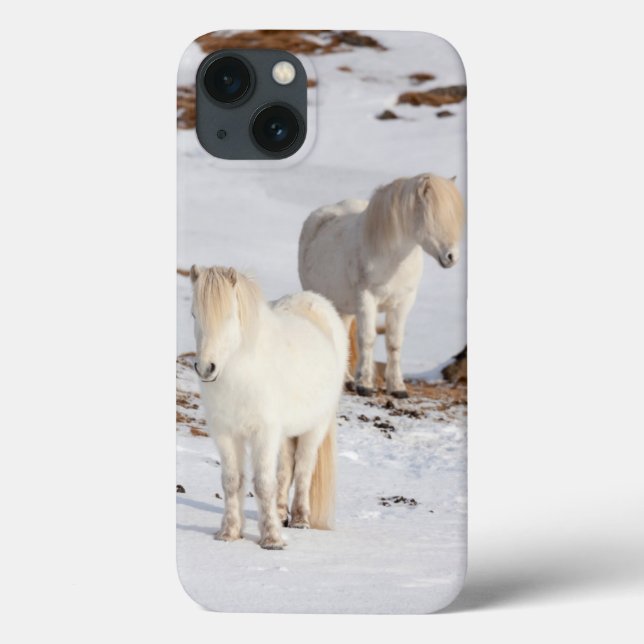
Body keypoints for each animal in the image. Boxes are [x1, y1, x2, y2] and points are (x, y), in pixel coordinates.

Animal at [190, 265, 348, 550]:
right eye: (194, 314)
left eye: (229, 316)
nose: (206, 368)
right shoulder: (225, 433)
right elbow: (232, 481)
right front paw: (229, 533)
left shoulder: (264, 433)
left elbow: (263, 483)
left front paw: (272, 539)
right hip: (285, 434)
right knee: (285, 470)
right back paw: (282, 513)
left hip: (315, 427)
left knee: (304, 468)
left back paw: (300, 519)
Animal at [298, 173, 464, 398]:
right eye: (433, 216)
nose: (451, 257)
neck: (393, 258)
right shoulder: (367, 299)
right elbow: (368, 339)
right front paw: (365, 385)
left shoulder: (402, 303)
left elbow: (394, 343)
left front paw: (397, 387)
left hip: (344, 308)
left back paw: (346, 380)